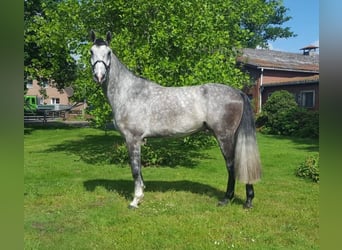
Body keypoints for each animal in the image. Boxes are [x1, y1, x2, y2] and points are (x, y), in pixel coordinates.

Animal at [89, 30, 260, 208]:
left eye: (109, 52)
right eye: (91, 52)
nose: (99, 76)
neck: (130, 92)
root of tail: (238, 93)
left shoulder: (132, 139)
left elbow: (135, 169)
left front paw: (135, 200)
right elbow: (139, 170)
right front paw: (141, 193)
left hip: (224, 136)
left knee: (232, 164)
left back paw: (230, 199)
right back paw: (246, 199)